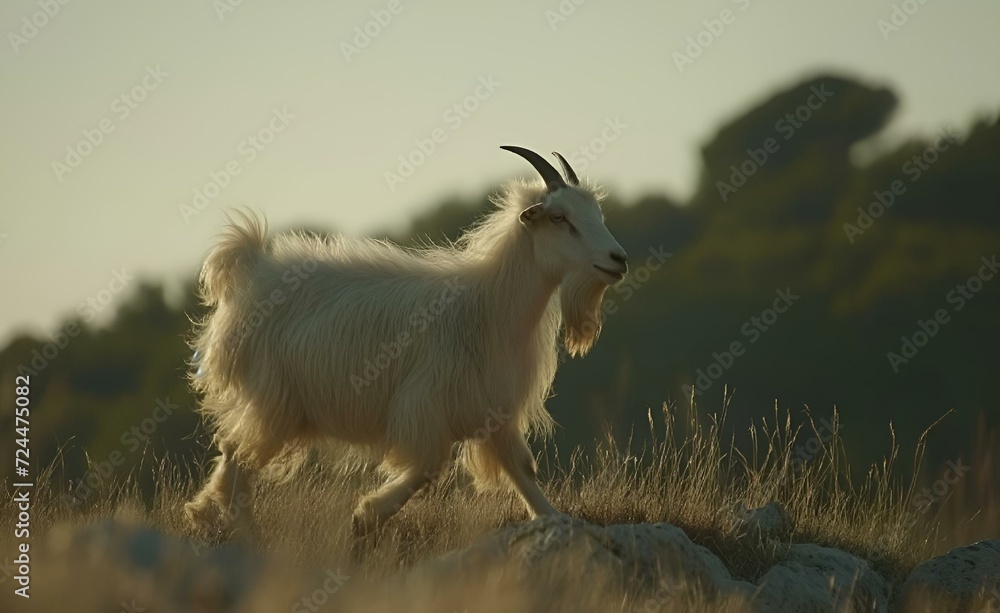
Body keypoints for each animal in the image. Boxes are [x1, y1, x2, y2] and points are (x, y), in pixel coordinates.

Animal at [184, 146, 629, 537]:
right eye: (559, 217)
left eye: (596, 213)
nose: (618, 259)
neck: (486, 306)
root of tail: (253, 271)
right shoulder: (426, 405)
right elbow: (429, 466)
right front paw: (367, 515)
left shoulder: (493, 412)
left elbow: (523, 472)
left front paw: (557, 520)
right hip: (275, 400)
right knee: (237, 456)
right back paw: (243, 531)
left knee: (231, 453)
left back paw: (206, 515)